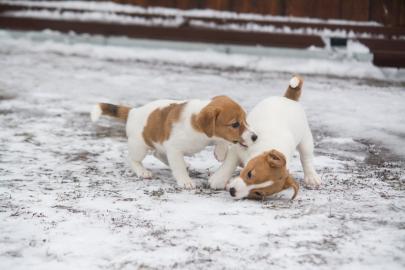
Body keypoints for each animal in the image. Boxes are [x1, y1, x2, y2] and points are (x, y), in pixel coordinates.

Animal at [91, 96, 256, 188]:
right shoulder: (174, 150)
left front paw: (220, 153)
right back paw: (142, 171)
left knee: (158, 154)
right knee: (132, 159)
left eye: (245, 120)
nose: (255, 136)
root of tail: (133, 112)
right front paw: (185, 181)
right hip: (140, 146)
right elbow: (178, 168)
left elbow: (222, 141)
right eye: (235, 124)